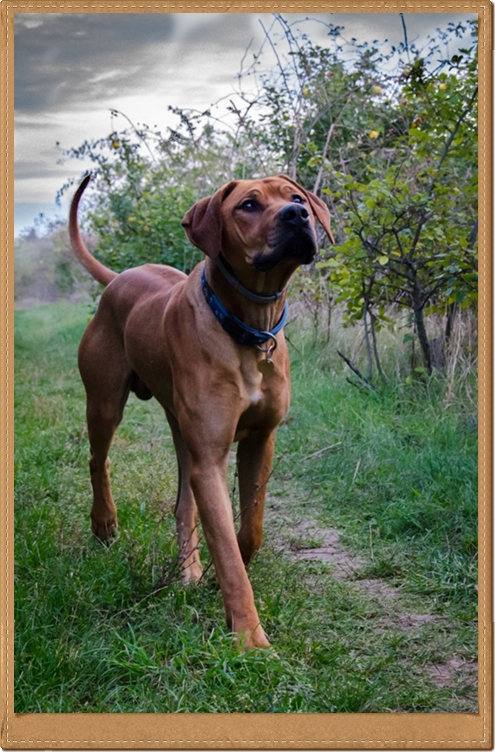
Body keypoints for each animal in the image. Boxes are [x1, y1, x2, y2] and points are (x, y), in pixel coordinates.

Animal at [69, 172, 334, 648]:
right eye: (248, 205)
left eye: (296, 197)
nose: (297, 215)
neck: (249, 328)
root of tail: (118, 278)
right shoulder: (210, 458)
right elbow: (227, 551)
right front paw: (250, 638)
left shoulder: (260, 441)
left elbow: (249, 528)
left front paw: (219, 579)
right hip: (103, 402)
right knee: (98, 459)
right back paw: (104, 524)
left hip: (181, 429)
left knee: (183, 504)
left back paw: (188, 570)